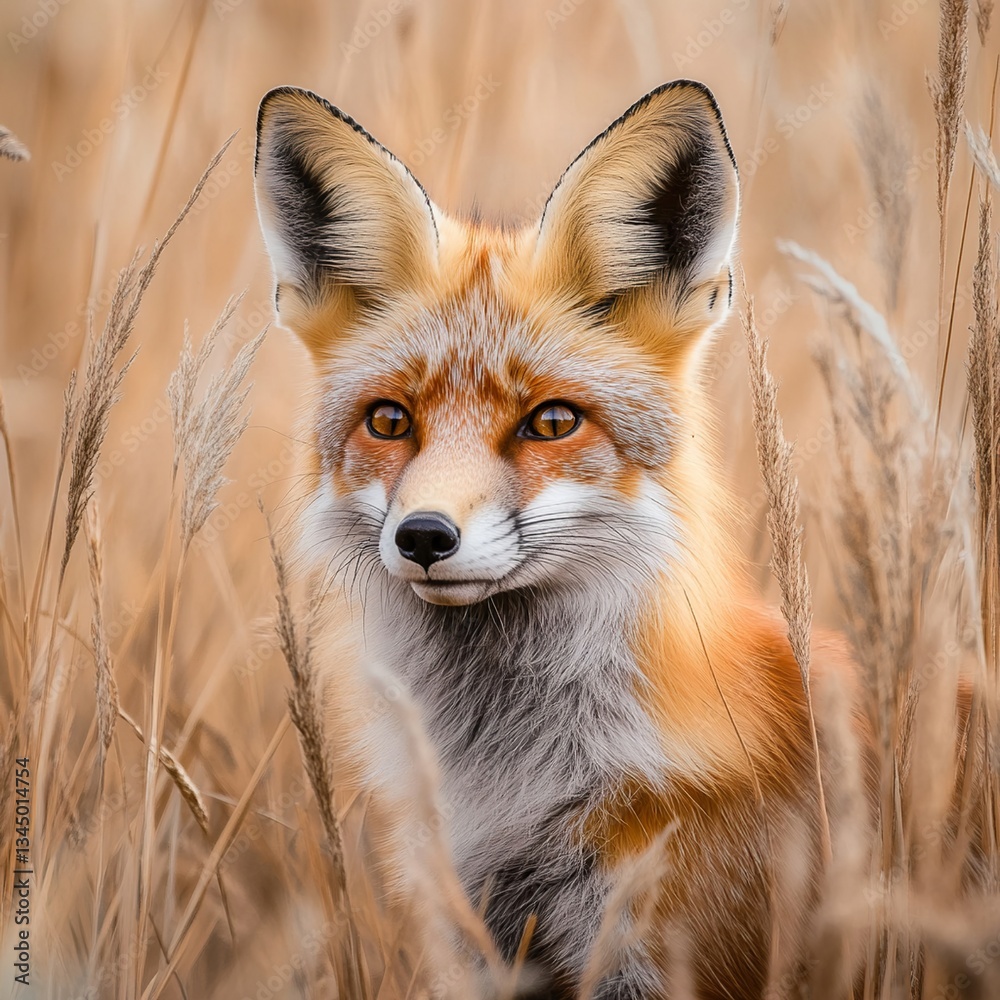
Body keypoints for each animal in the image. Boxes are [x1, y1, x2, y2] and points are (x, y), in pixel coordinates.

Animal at [253, 81, 869, 999]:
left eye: (550, 422)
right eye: (390, 421)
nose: (424, 535)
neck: (515, 788)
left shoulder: (651, 951)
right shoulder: (482, 945)